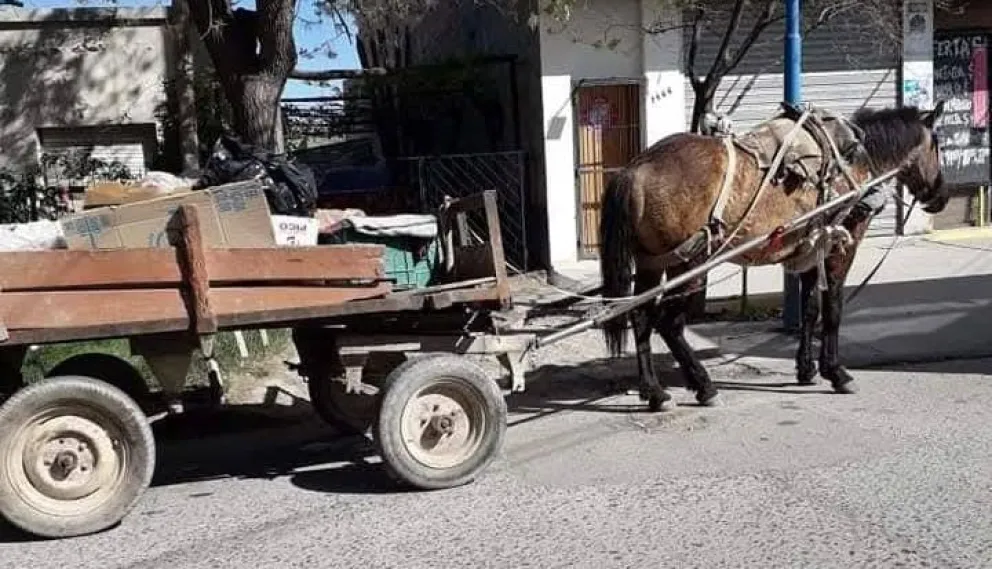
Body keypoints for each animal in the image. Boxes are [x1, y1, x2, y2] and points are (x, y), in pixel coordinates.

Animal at [598, 102, 948, 411]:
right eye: (938, 145)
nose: (940, 197)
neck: (855, 160)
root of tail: (637, 169)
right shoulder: (839, 250)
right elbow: (832, 312)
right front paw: (836, 372)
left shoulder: (812, 251)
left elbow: (809, 310)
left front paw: (806, 369)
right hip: (689, 262)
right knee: (669, 323)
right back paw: (704, 386)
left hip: (652, 261)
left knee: (640, 316)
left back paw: (654, 391)